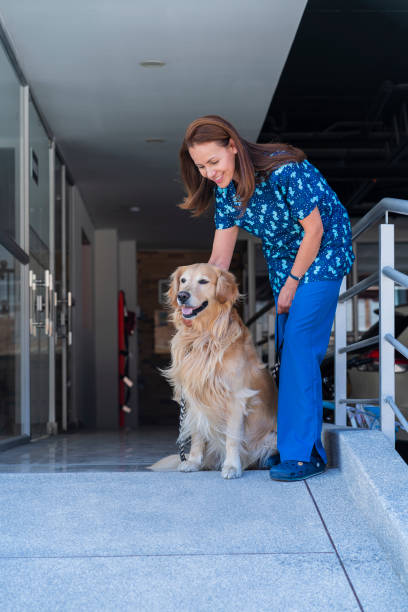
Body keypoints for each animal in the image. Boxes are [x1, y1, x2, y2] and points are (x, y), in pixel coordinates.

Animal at [148, 262, 278, 478]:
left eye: (203, 281)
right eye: (183, 280)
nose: (182, 295)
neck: (203, 335)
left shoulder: (236, 397)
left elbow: (232, 437)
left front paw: (232, 466)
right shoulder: (194, 397)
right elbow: (197, 435)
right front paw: (193, 462)